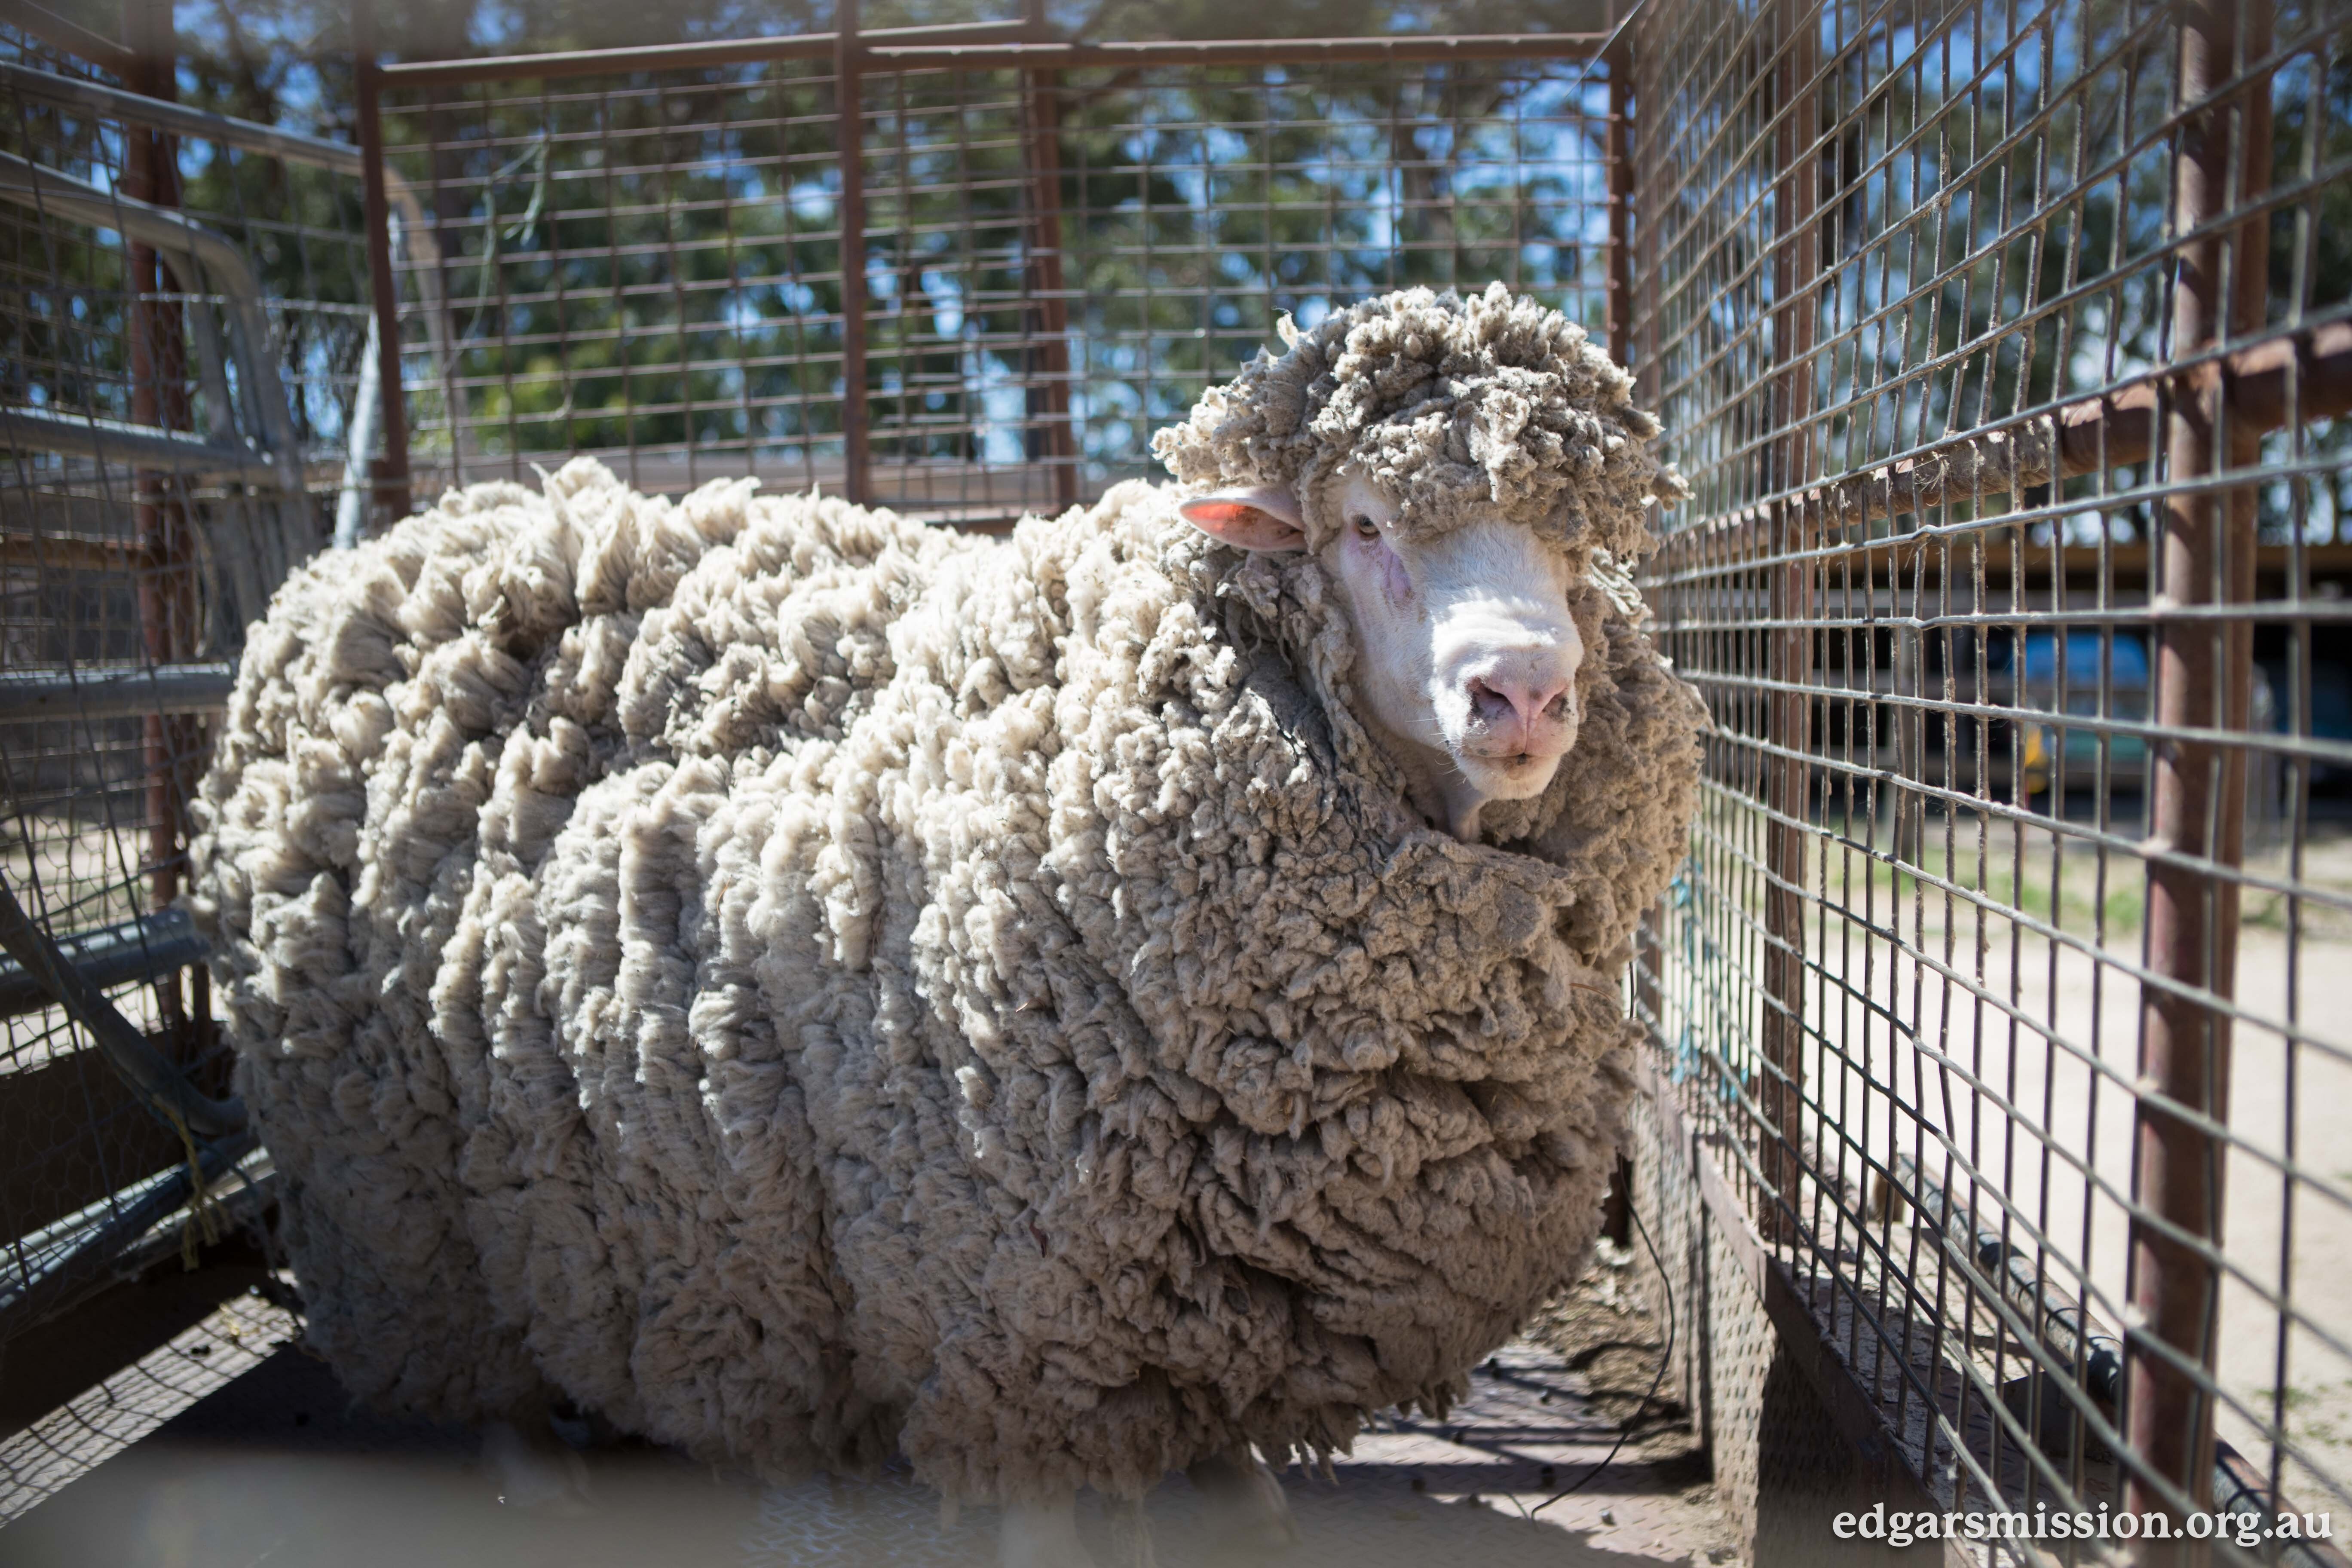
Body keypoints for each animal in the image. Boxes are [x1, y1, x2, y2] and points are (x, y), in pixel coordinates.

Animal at [188, 281, 1705, 1567]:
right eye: (1366, 527)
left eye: (1579, 544)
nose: (1524, 692)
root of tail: (360, 565)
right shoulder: (1014, 1302)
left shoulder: (1205, 1294)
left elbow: (1213, 1440)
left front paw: (1246, 1508)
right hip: (386, 1182)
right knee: (462, 1358)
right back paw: (533, 1478)